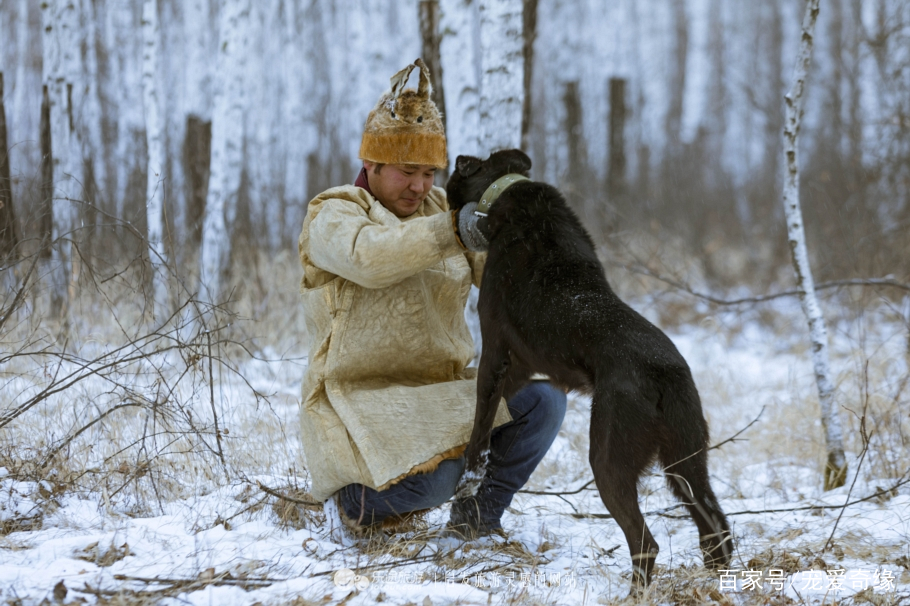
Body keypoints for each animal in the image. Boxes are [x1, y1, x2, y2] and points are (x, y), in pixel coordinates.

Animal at [448, 150, 732, 592]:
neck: (507, 193)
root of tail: (665, 373)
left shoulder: (496, 347)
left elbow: (481, 421)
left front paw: (467, 474)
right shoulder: (524, 364)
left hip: (609, 457)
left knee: (645, 540)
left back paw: (634, 594)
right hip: (685, 460)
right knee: (715, 524)